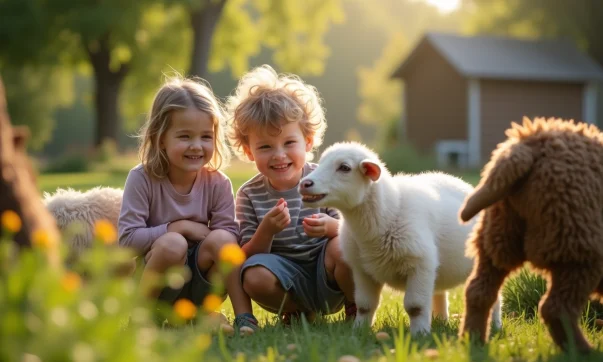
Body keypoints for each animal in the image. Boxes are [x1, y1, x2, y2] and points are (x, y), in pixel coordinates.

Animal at [300, 143, 502, 336]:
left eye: (344, 167)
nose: (304, 183)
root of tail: (461, 182)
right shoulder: (362, 269)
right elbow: (365, 305)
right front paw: (359, 331)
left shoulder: (419, 264)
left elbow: (415, 306)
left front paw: (420, 334)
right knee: (438, 292)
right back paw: (440, 322)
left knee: (493, 297)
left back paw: (495, 325)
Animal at [458, 116, 603, 354]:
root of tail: (526, 147)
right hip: (578, 245)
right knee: (556, 308)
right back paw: (582, 351)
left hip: (498, 234)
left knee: (478, 291)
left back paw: (474, 341)